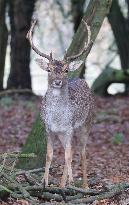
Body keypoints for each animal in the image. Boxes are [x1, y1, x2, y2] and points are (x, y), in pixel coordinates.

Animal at [26, 19, 94, 189]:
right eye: (49, 69)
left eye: (66, 70)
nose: (58, 81)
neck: (57, 118)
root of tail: (83, 80)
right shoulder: (48, 129)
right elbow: (49, 155)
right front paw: (44, 182)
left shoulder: (69, 128)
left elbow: (68, 157)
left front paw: (68, 183)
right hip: (65, 134)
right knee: (70, 150)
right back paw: (65, 183)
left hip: (86, 123)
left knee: (82, 151)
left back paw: (84, 185)